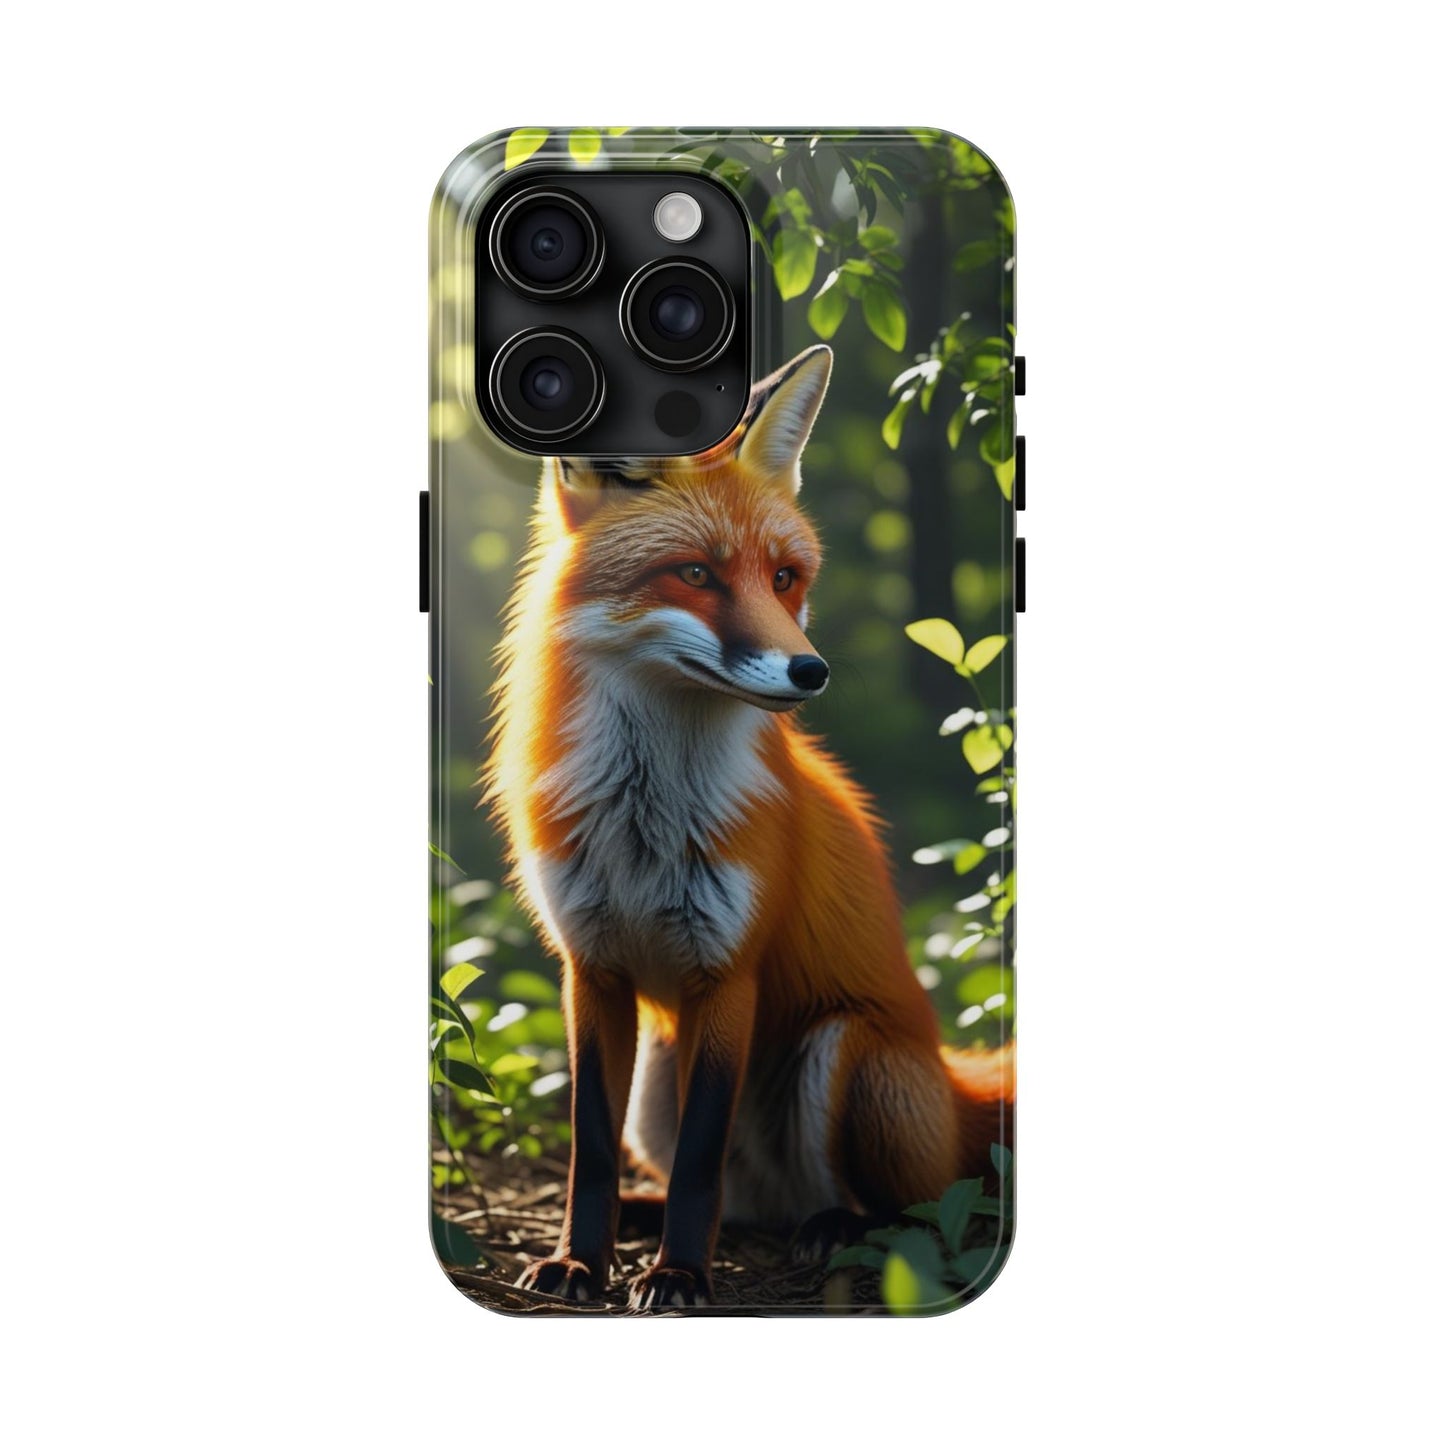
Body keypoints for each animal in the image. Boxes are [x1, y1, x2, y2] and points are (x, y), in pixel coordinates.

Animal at [485, 344, 1014, 1309]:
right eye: (694, 573)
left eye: (783, 578)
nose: (811, 671)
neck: (644, 823)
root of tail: (955, 1082)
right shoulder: (592, 967)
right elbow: (590, 1147)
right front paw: (580, 1259)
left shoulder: (728, 971)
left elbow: (700, 1157)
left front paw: (680, 1276)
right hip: (657, 1079)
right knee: (737, 1201)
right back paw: (660, 1216)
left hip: (846, 1055)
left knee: (908, 1210)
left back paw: (831, 1227)